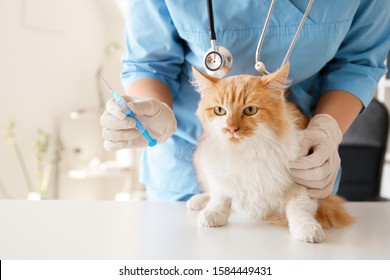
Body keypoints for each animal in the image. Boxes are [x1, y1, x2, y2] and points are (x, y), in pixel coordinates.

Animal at [187, 65, 354, 243]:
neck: (248, 151)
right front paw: (214, 212)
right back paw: (199, 200)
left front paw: (306, 228)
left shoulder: (301, 182)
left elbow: (298, 208)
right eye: (219, 110)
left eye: (250, 110)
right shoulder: (219, 170)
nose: (231, 128)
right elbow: (221, 196)